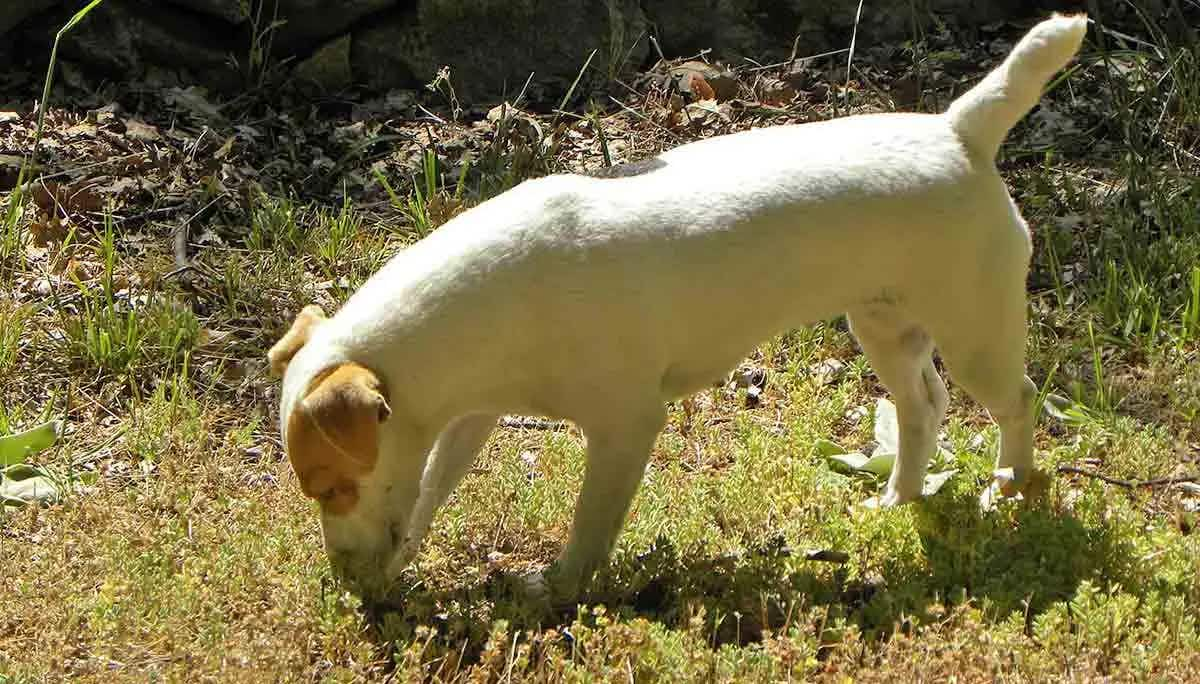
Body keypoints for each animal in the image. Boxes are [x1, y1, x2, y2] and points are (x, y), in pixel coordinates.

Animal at [270, 14, 1089, 595]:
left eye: (333, 487)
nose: (346, 585)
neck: (489, 303)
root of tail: (959, 130)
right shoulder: (469, 416)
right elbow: (429, 490)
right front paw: (406, 561)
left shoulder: (625, 425)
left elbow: (591, 523)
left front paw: (558, 588)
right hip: (884, 325)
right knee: (926, 406)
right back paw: (897, 500)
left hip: (974, 328)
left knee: (1015, 401)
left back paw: (1009, 487)